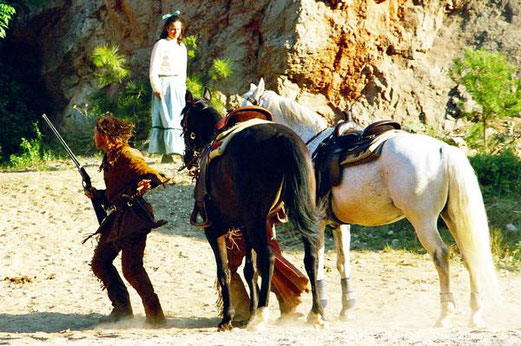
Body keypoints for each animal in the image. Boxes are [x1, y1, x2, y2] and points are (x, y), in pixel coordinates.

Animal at [181, 93, 322, 332]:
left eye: (183, 123)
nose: (186, 157)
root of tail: (283, 138)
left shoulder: (215, 229)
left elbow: (225, 271)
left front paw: (227, 319)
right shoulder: (245, 227)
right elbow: (250, 270)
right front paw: (249, 311)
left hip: (257, 222)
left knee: (269, 257)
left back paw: (262, 314)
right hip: (298, 214)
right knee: (310, 256)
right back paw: (316, 313)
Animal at [240, 78, 500, 328]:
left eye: (245, 105)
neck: (310, 147)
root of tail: (443, 150)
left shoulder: (316, 223)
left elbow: (316, 262)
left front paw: (319, 310)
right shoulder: (339, 224)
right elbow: (342, 263)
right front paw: (347, 310)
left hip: (423, 220)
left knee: (441, 256)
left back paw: (445, 314)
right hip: (452, 216)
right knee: (469, 254)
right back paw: (475, 313)